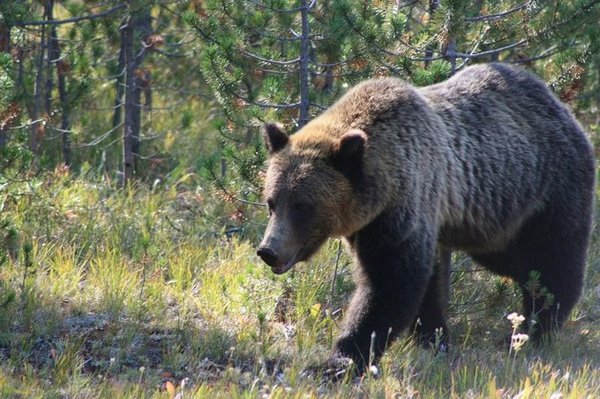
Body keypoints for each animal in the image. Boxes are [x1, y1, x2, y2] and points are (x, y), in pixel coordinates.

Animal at [255, 62, 592, 372]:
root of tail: (562, 107)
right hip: (493, 221)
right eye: (272, 202)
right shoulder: (383, 223)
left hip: (545, 191)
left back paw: (538, 326)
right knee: (518, 264)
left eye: (302, 206)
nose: (268, 250)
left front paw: (343, 358)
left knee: (552, 260)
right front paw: (435, 339)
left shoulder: (404, 205)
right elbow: (426, 284)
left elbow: (389, 285)